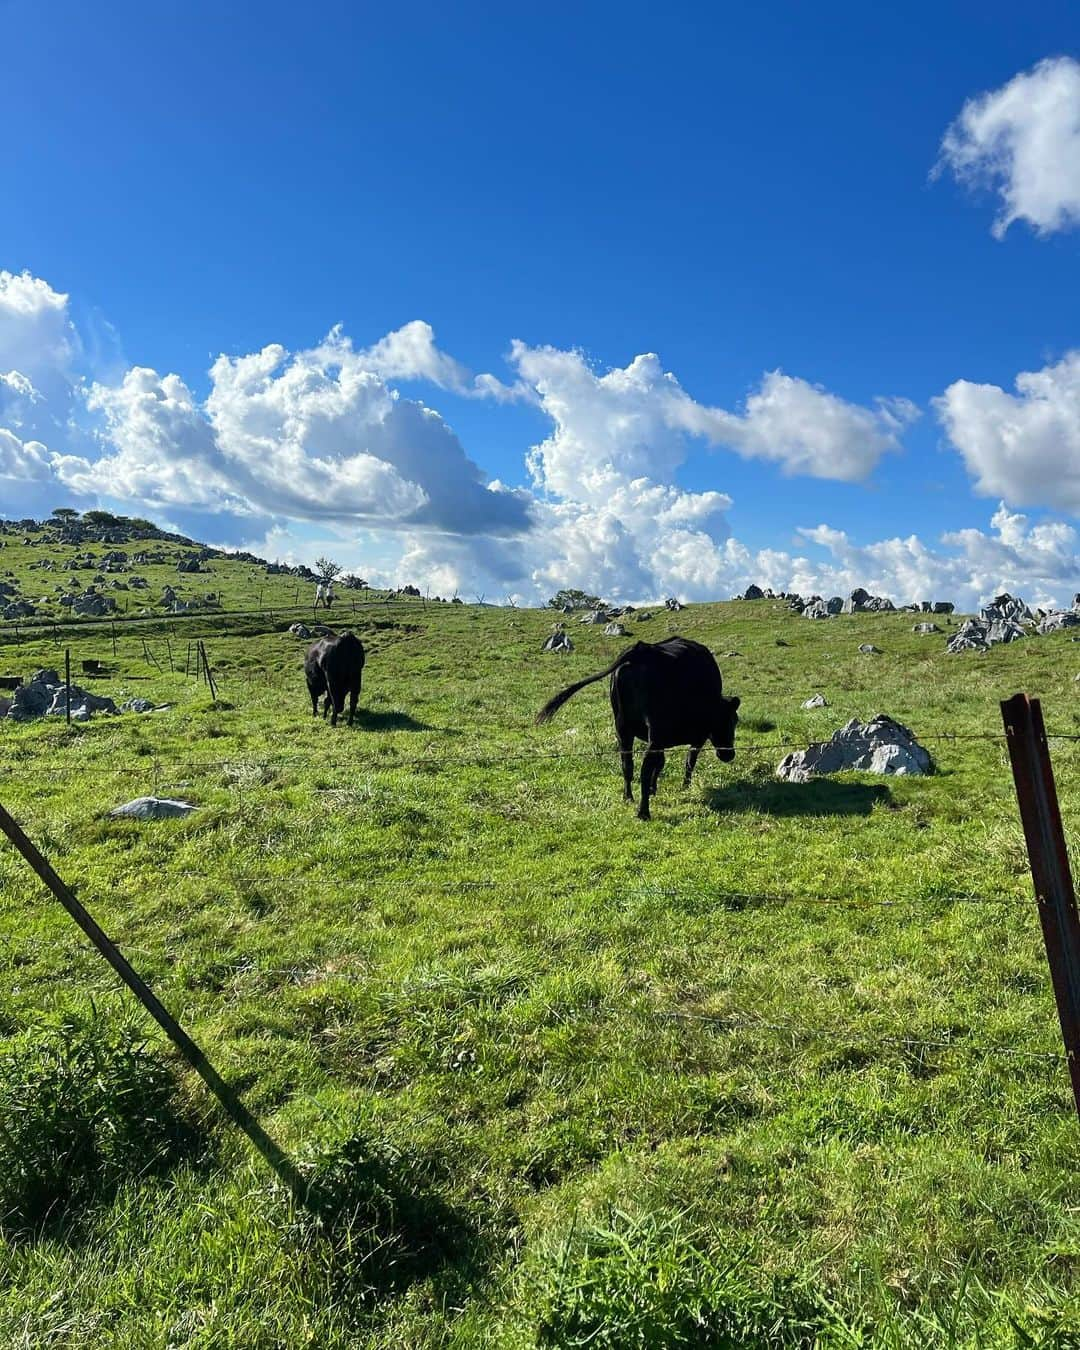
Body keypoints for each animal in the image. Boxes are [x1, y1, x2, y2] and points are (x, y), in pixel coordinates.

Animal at [534, 634, 739, 815]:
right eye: (733, 721)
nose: (729, 754)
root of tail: (641, 649)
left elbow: (661, 762)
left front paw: (653, 789)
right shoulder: (694, 735)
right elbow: (689, 761)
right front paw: (684, 786)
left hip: (622, 728)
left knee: (627, 764)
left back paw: (628, 797)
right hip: (654, 728)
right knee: (644, 767)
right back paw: (643, 812)